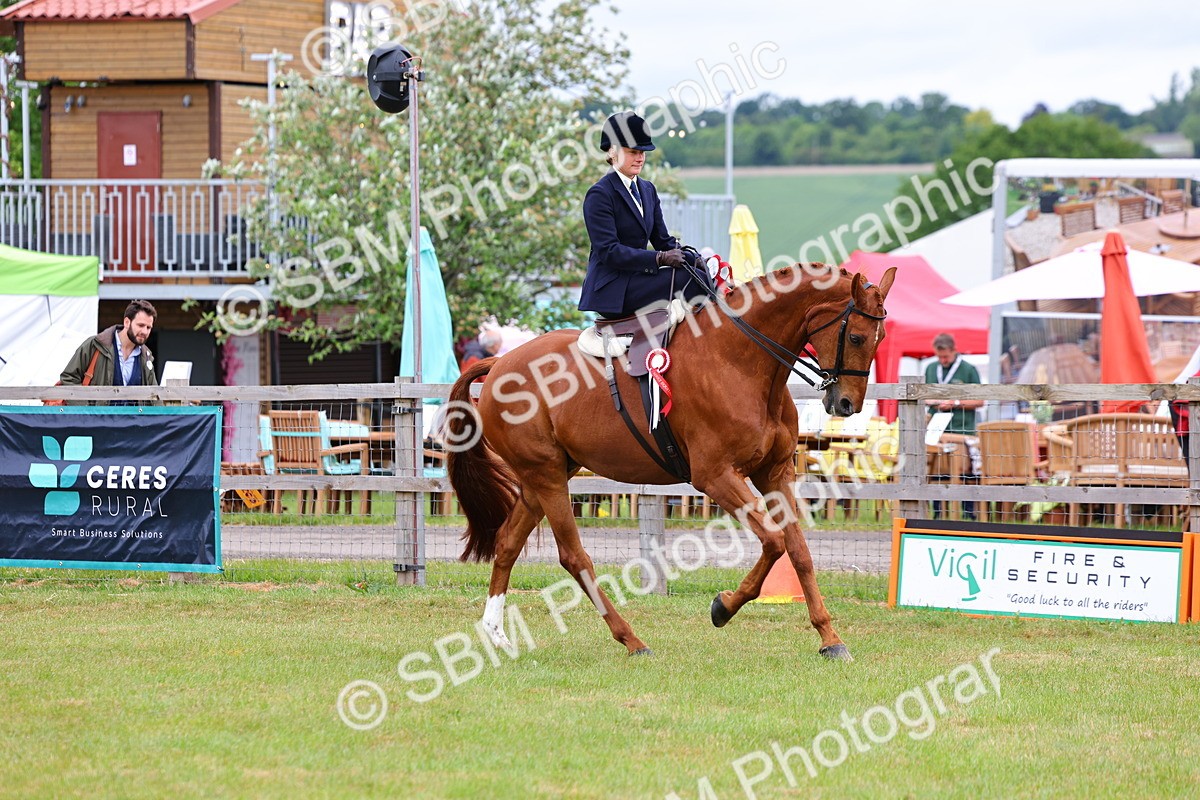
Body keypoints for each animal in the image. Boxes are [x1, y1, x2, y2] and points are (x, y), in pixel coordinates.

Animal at [446, 262, 896, 660]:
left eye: (882, 337)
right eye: (857, 337)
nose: (847, 404)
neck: (739, 360)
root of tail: (499, 363)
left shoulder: (775, 473)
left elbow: (799, 551)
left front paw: (830, 638)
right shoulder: (716, 477)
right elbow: (773, 541)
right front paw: (723, 607)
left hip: (543, 476)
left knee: (508, 542)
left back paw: (496, 634)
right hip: (547, 476)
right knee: (573, 556)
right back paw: (631, 640)